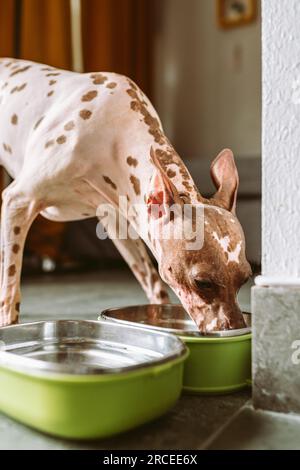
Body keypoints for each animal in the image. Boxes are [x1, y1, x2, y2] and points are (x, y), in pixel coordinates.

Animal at [0, 57, 251, 330]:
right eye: (202, 282)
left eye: (245, 279)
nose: (238, 329)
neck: (112, 134)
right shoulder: (17, 201)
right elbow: (10, 290)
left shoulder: (119, 222)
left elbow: (153, 284)